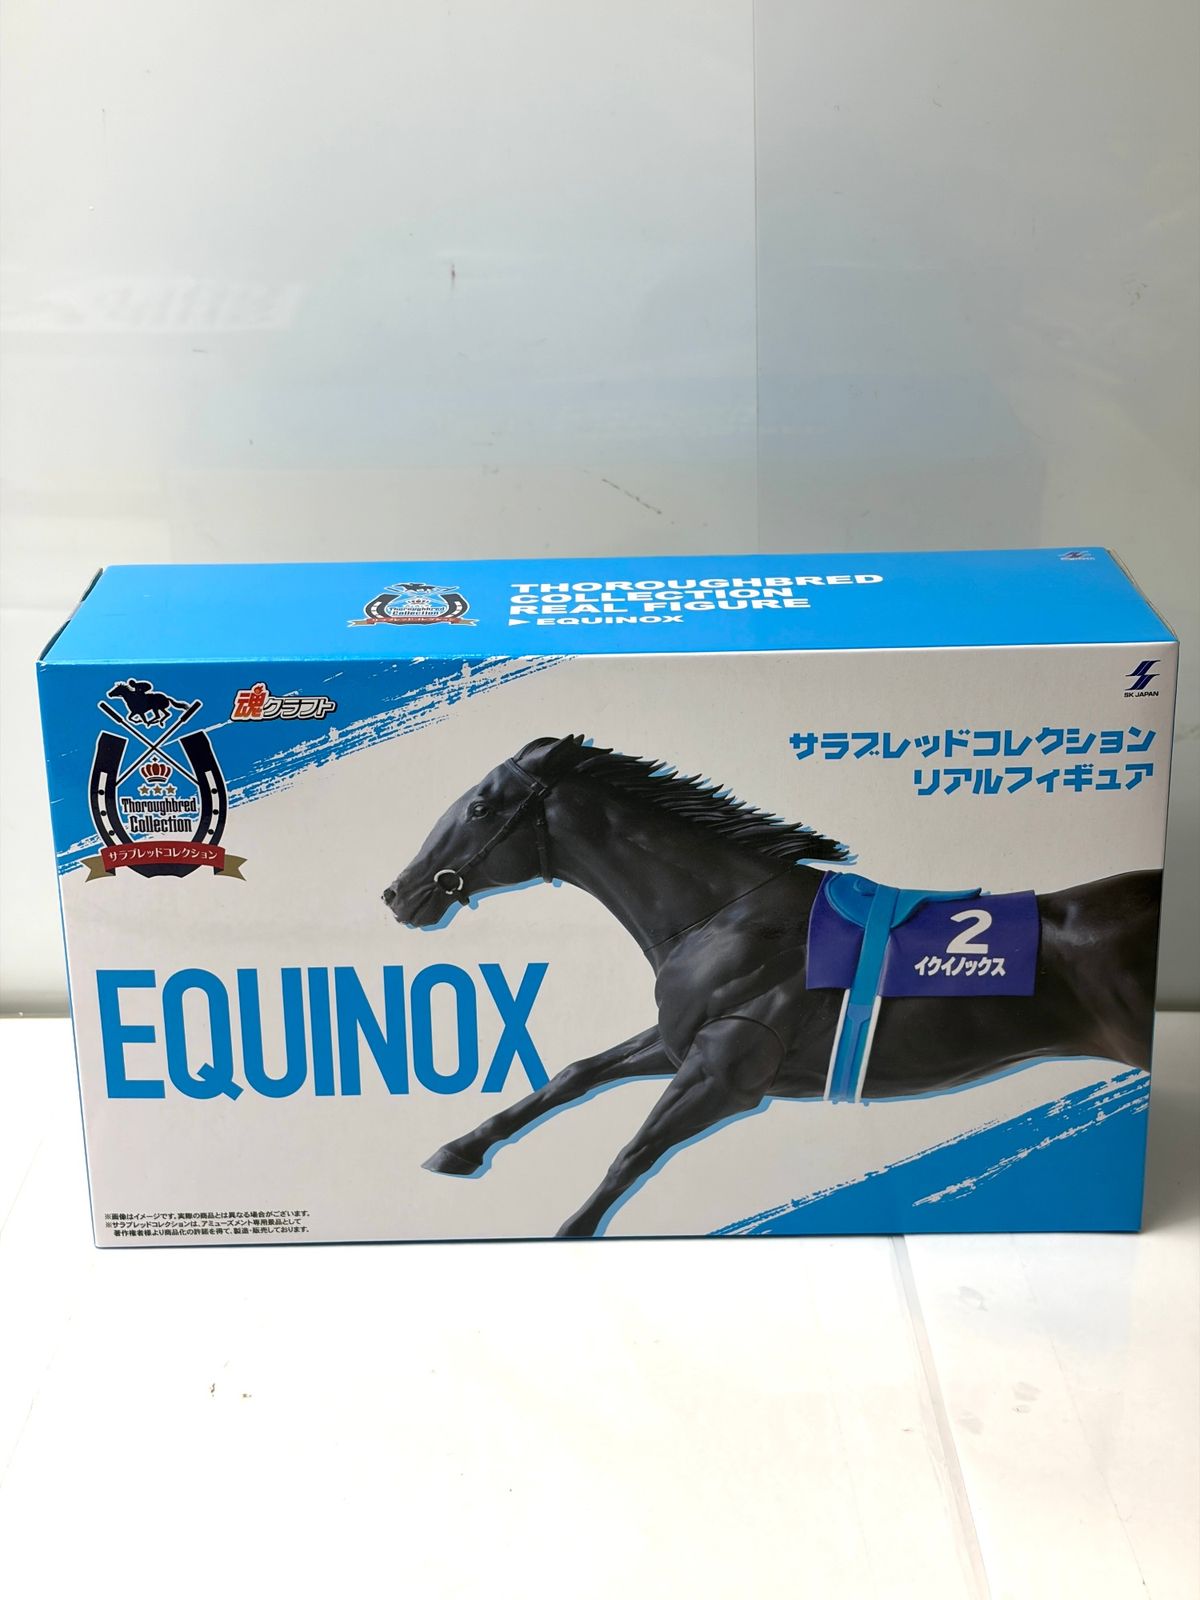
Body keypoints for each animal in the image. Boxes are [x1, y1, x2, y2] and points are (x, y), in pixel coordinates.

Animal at [382, 735, 1161, 1238]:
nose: (399, 893)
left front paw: (567, 1231)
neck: (730, 917)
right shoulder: (685, 1041)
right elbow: (575, 1073)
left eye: (481, 807)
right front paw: (460, 1150)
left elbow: (630, 1154)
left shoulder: (723, 1075)